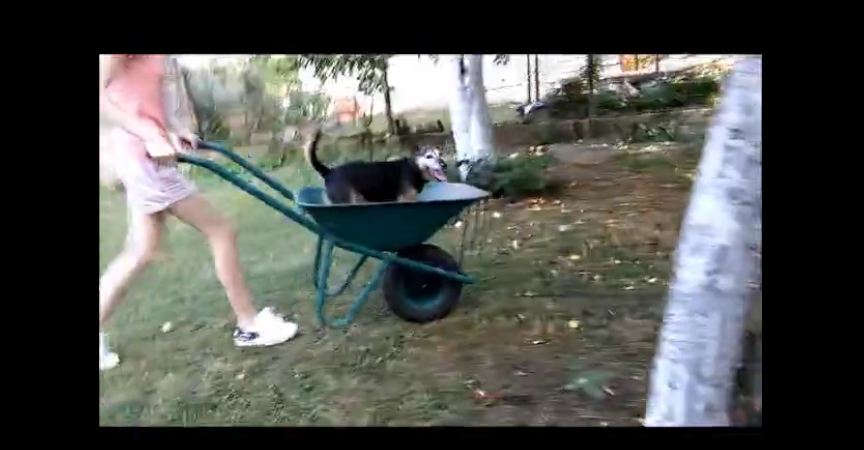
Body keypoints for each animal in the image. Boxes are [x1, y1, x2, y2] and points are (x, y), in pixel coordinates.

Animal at [304, 127, 448, 203]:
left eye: (440, 154)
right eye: (429, 156)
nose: (444, 164)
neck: (413, 168)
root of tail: (329, 171)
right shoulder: (406, 199)